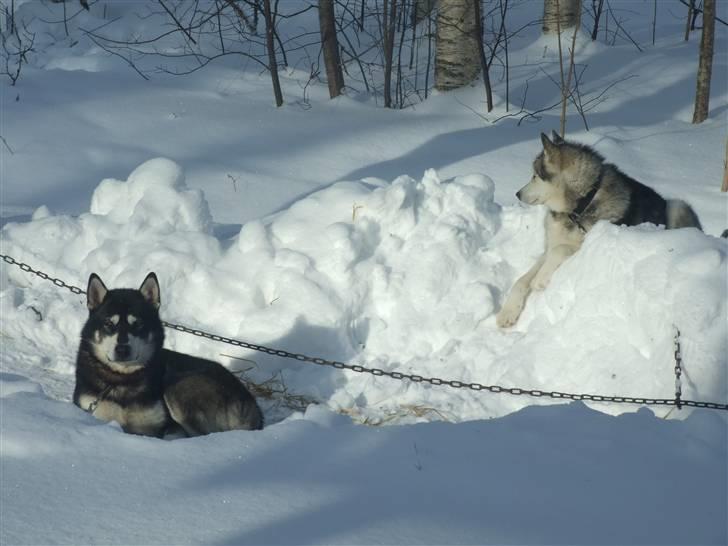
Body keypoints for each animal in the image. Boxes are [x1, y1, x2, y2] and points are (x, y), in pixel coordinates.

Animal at [74, 272, 263, 437]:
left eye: (138, 324)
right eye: (108, 323)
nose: (122, 350)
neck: (122, 379)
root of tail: (249, 403)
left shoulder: (158, 427)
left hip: (178, 388)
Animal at [496, 132, 702, 329]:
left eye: (535, 176)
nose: (517, 193)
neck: (579, 206)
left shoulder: (589, 242)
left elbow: (560, 250)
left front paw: (541, 279)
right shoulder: (549, 246)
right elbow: (521, 281)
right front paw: (508, 312)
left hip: (677, 205)